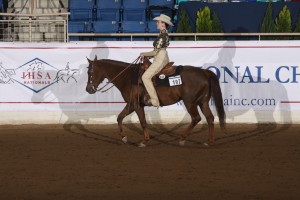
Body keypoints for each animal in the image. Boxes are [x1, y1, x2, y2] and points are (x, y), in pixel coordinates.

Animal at [85, 55, 225, 147]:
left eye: (90, 72)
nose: (88, 89)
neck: (128, 77)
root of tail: (204, 72)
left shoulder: (136, 105)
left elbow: (143, 122)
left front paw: (144, 141)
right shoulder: (131, 104)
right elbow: (119, 118)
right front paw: (124, 138)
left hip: (190, 102)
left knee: (196, 118)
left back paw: (182, 138)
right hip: (203, 102)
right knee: (210, 118)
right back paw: (208, 141)